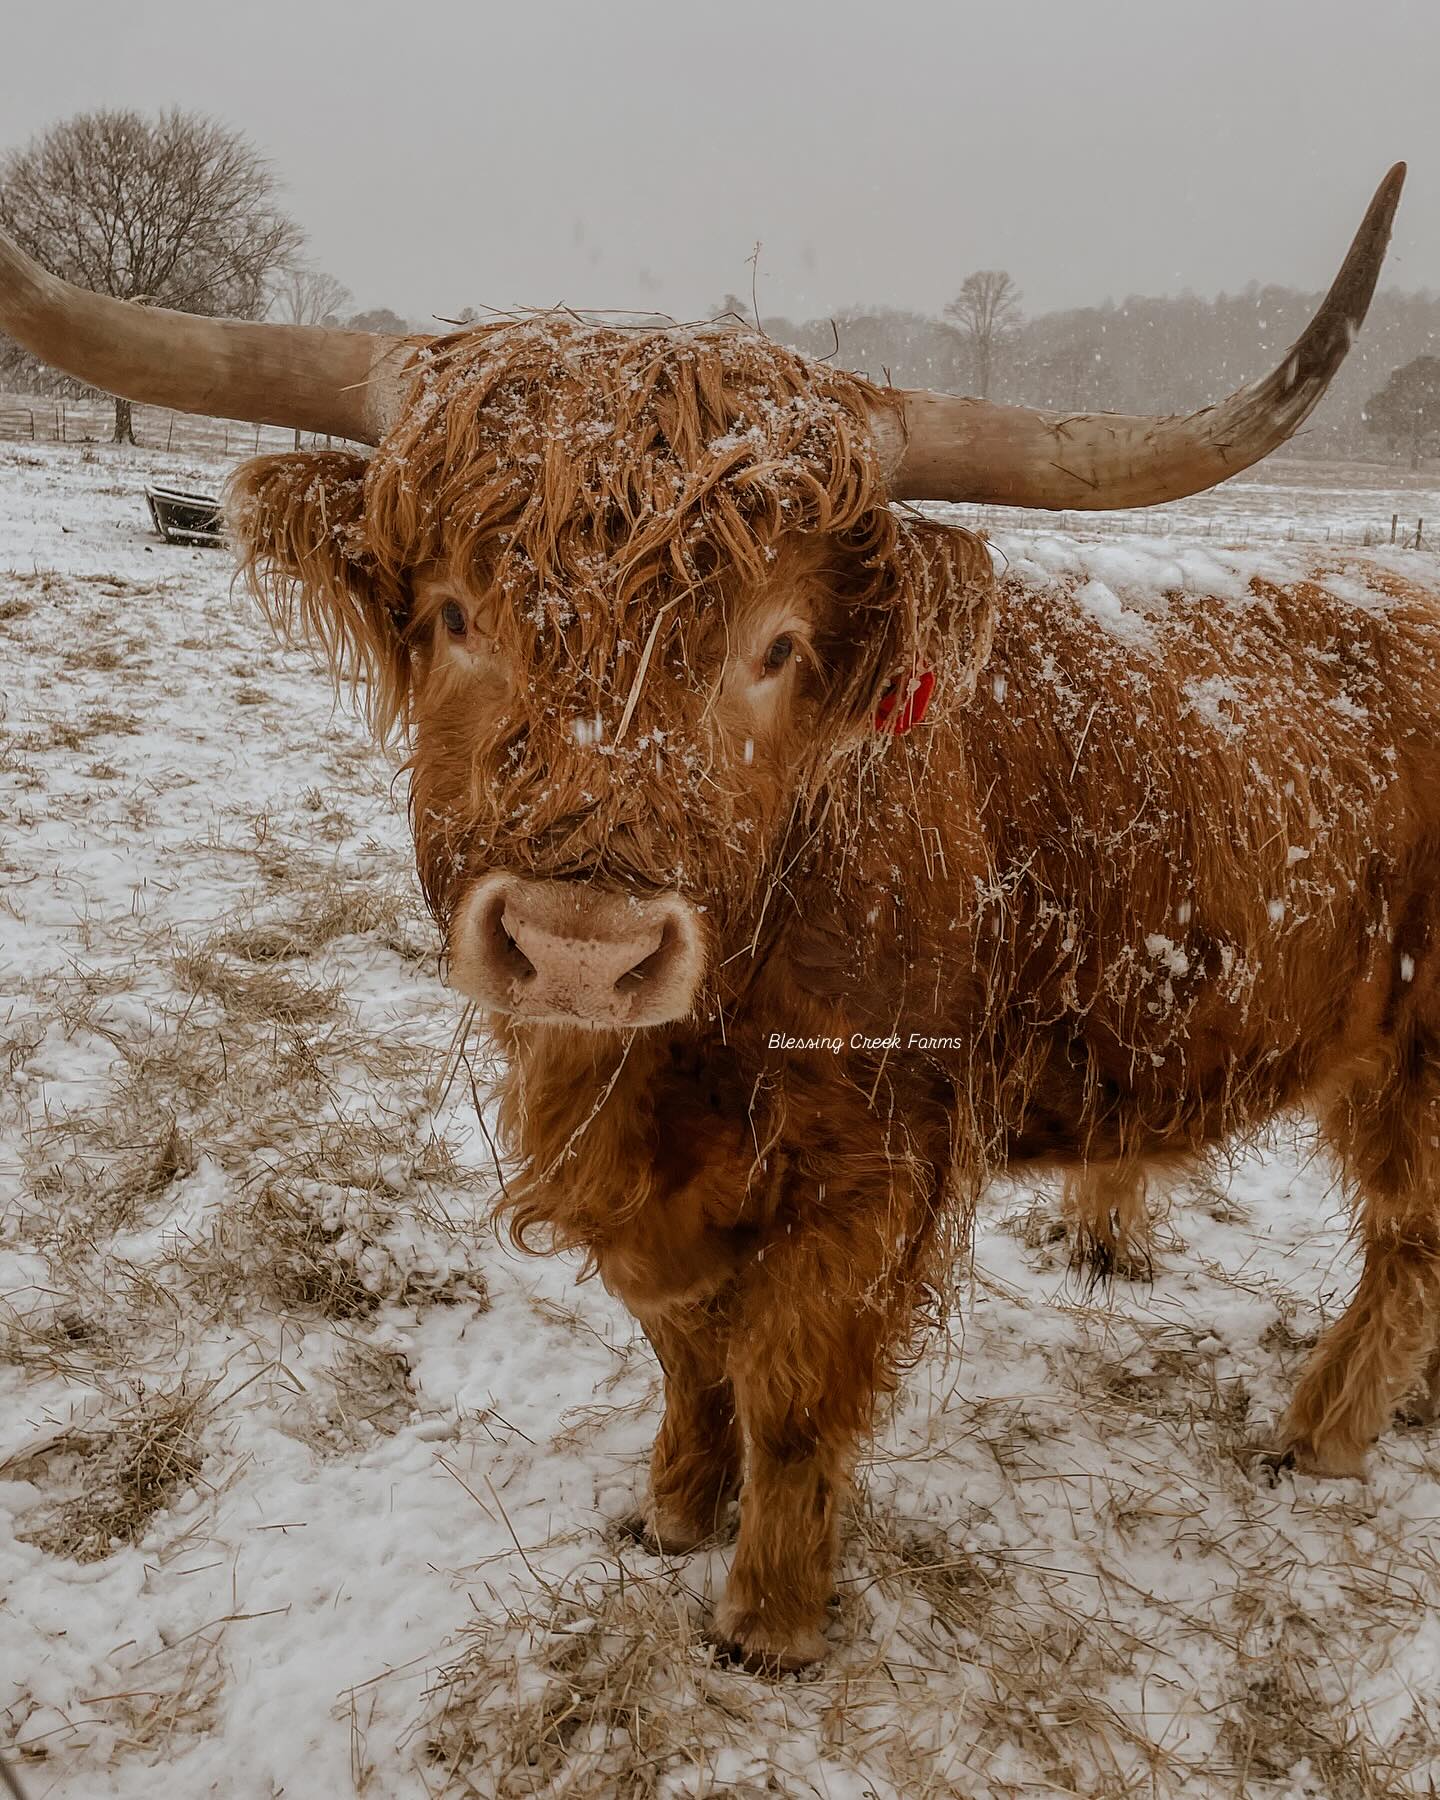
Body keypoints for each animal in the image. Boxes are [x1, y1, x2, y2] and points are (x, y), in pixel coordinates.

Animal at [2, 164, 1430, 1671]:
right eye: (454, 615)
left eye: (777, 647)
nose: (583, 946)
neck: (687, 1056)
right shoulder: (625, 1160)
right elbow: (686, 1352)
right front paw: (673, 1511)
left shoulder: (872, 1171)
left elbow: (792, 1391)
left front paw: (771, 1615)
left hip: (1420, 1056)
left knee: (1411, 1242)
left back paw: (1321, 1434)